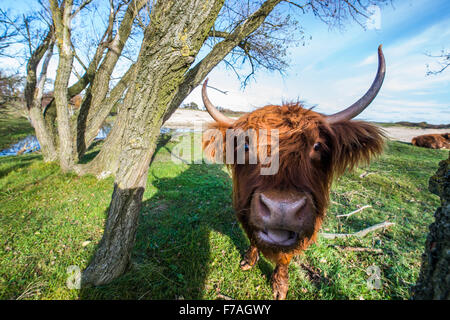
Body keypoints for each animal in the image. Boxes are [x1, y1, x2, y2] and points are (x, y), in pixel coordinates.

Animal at [202, 45, 384, 300]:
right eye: (246, 146)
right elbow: (252, 237)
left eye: (317, 146)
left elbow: (285, 257)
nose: (282, 209)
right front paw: (249, 260)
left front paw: (279, 286)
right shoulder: (242, 207)